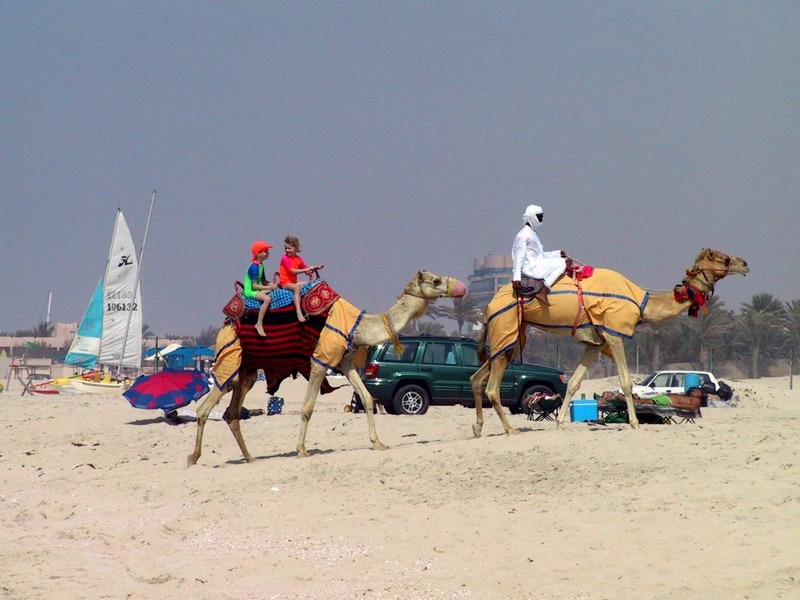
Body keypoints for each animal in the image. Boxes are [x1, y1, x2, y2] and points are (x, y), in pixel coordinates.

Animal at [188, 270, 466, 466]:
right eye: (436, 280)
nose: (461, 287)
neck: (358, 325)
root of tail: (225, 324)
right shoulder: (320, 361)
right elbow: (307, 408)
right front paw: (302, 450)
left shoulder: (345, 361)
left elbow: (367, 398)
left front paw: (378, 443)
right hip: (230, 359)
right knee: (205, 408)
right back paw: (193, 458)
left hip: (247, 370)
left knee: (231, 413)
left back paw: (250, 458)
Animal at [468, 248, 752, 436]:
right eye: (723, 258)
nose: (745, 263)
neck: (642, 302)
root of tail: (488, 304)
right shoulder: (615, 334)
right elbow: (626, 382)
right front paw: (635, 423)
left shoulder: (595, 343)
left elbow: (574, 382)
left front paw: (560, 423)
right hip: (507, 327)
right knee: (492, 387)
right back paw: (510, 430)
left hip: (511, 336)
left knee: (477, 377)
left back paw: (478, 427)